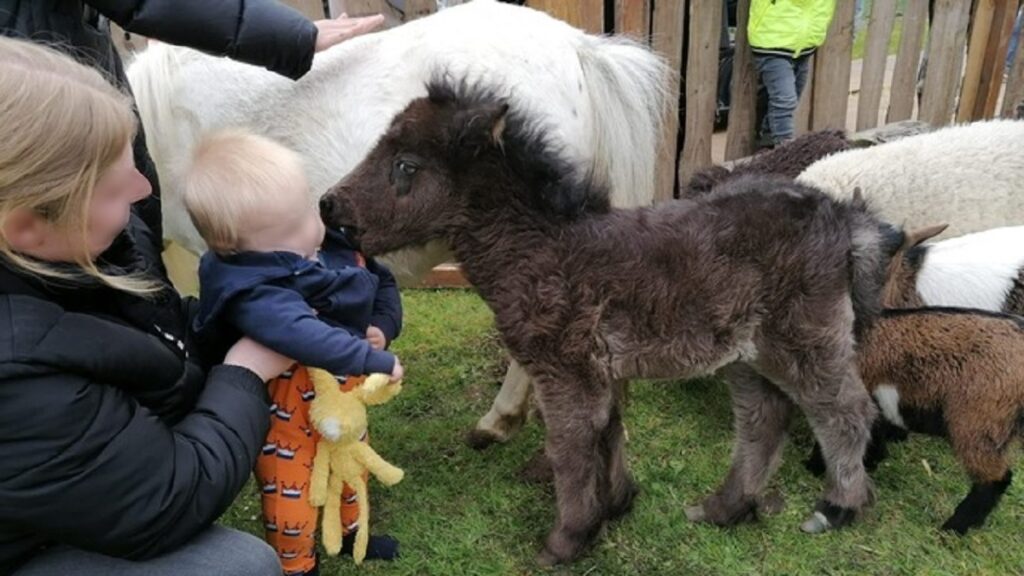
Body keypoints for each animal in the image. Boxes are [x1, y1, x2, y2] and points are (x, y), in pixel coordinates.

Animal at [319, 83, 888, 561]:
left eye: (405, 165)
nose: (328, 205)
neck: (540, 249)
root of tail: (841, 217)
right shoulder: (598, 370)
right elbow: (609, 431)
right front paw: (615, 504)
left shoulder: (565, 371)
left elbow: (570, 446)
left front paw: (567, 539)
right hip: (747, 355)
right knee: (764, 419)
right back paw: (726, 508)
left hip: (804, 336)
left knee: (844, 410)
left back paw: (838, 506)